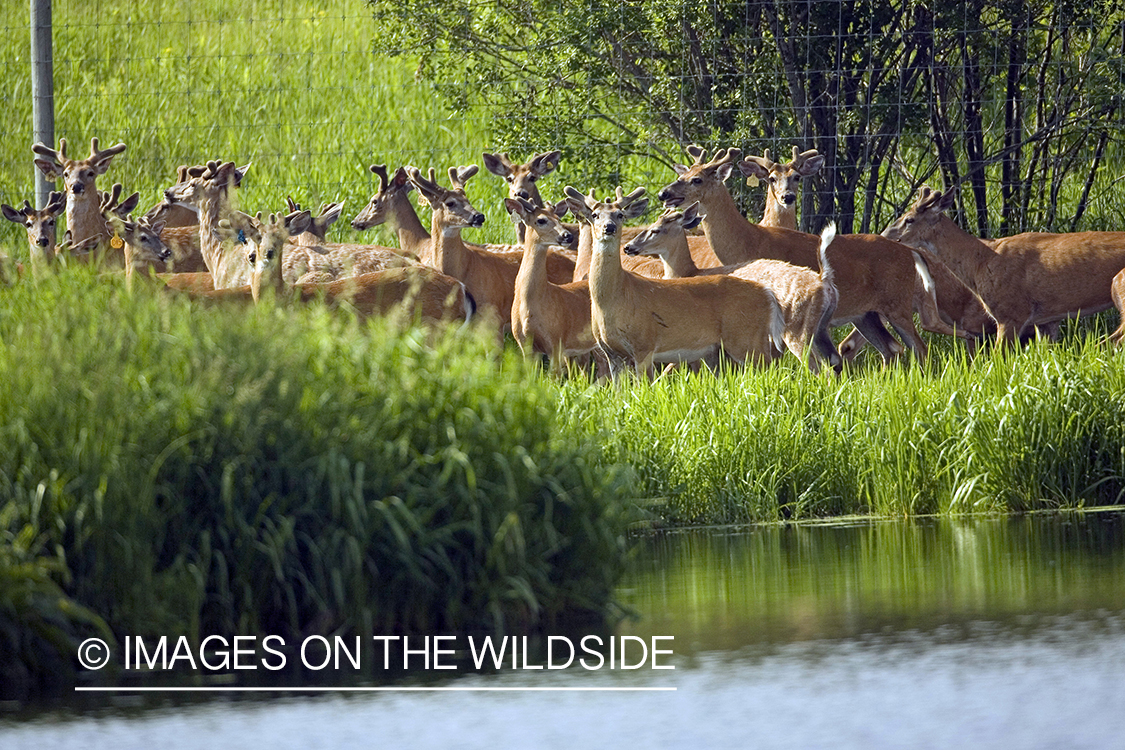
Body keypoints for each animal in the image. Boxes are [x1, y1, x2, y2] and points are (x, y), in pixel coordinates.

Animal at [567, 185, 787, 377]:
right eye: (595, 215)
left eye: (620, 215)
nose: (609, 228)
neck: (613, 299)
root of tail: (768, 294)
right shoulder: (611, 352)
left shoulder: (644, 344)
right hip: (716, 349)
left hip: (746, 338)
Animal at [625, 202, 846, 375]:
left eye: (656, 229)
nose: (628, 247)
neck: (690, 272)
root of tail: (824, 280)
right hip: (821, 327)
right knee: (835, 361)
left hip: (797, 328)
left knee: (818, 367)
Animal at [657, 146, 931, 364]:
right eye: (681, 175)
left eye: (697, 180)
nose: (663, 193)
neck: (750, 241)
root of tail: (910, 252)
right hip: (866, 314)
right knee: (891, 349)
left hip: (898, 303)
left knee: (919, 347)